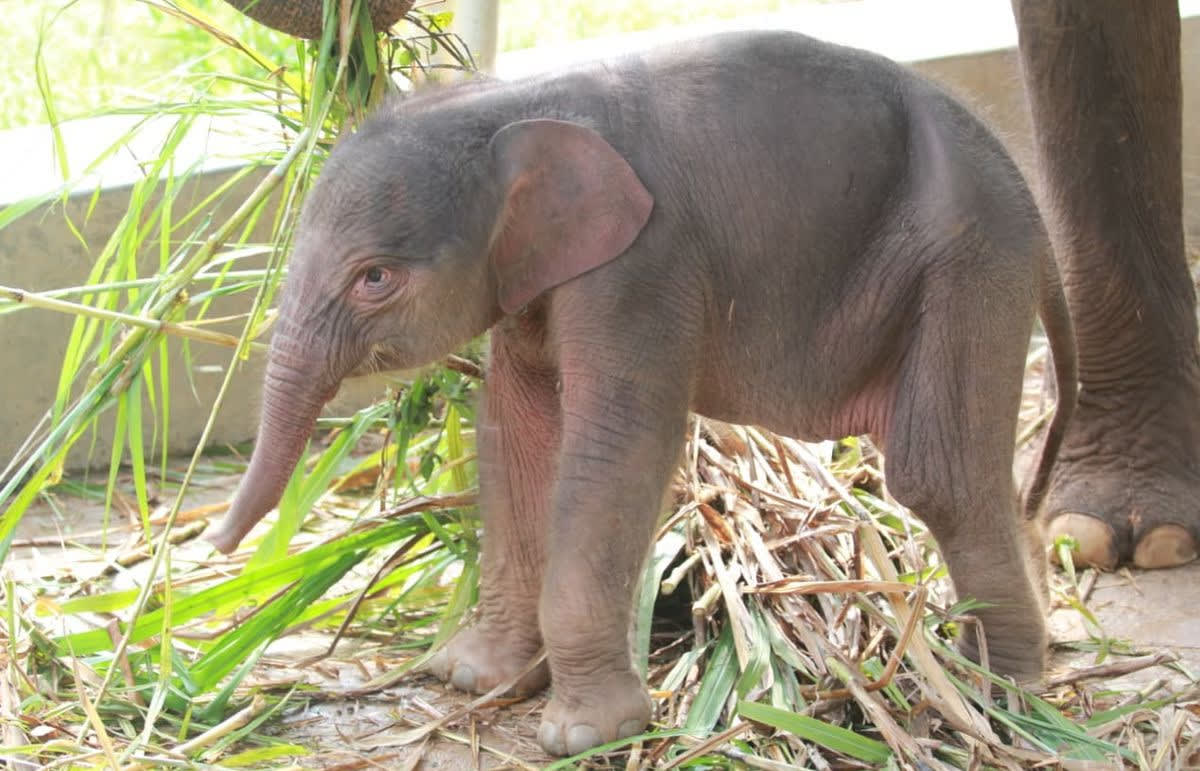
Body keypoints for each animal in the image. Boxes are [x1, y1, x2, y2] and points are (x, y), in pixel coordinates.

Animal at [206, 29, 1080, 755]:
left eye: (375, 279)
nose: (218, 550)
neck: (512, 103)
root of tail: (1034, 207)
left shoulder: (643, 269)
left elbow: (615, 449)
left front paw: (586, 734)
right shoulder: (536, 280)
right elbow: (516, 434)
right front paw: (473, 676)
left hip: (969, 261)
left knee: (938, 475)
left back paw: (1002, 695)